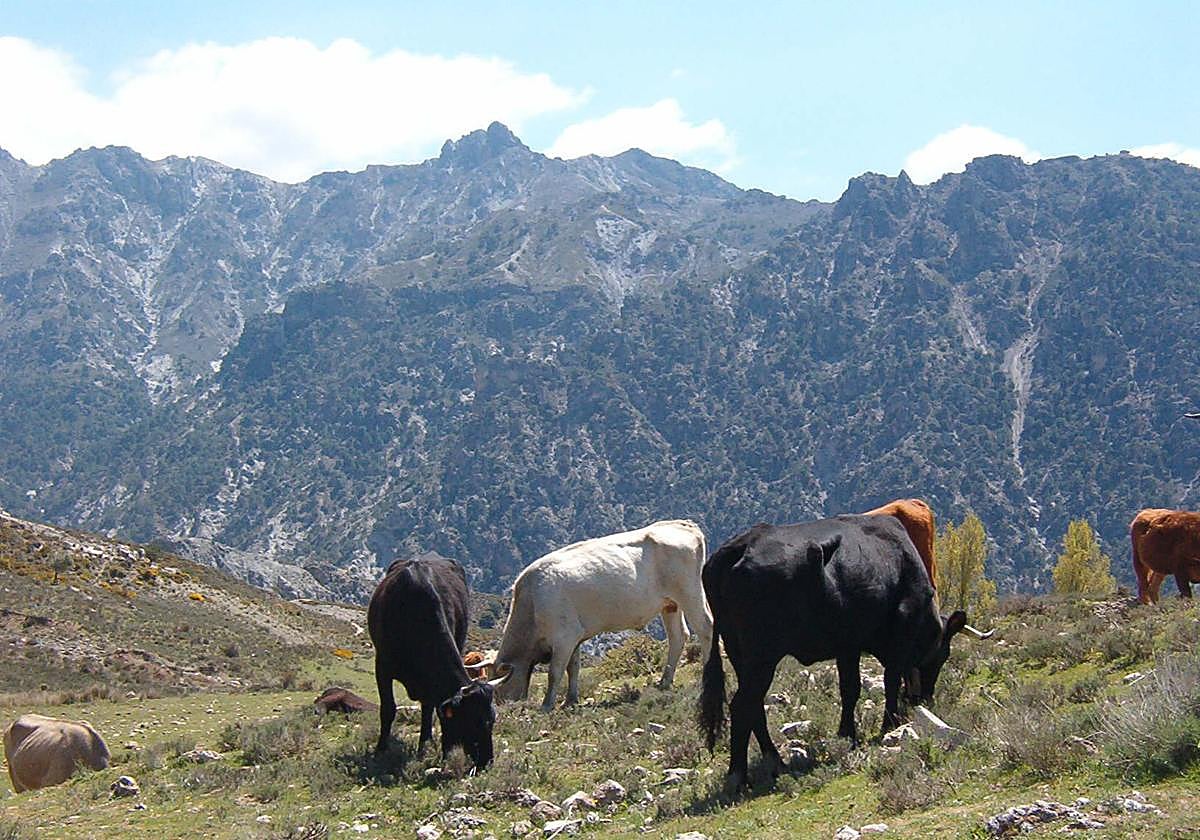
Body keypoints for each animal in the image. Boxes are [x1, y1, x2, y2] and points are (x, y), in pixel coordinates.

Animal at [367, 554, 509, 769]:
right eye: (470, 721)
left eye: (491, 720)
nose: (486, 762)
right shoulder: (382, 666)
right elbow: (388, 709)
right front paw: (380, 750)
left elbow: (428, 709)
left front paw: (425, 746)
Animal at [492, 519, 713, 711]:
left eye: (498, 690)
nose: (501, 708)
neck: (532, 601)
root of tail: (681, 524)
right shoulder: (576, 636)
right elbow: (573, 668)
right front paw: (570, 700)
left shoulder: (564, 637)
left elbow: (555, 672)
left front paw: (547, 705)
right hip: (670, 604)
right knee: (678, 637)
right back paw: (664, 681)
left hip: (690, 592)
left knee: (705, 628)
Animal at [698, 516, 989, 791]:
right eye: (943, 656)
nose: (927, 699)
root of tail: (739, 546)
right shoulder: (889, 641)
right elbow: (882, 682)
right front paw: (883, 726)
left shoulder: (846, 647)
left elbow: (850, 689)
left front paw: (849, 733)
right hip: (761, 657)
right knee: (742, 705)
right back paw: (738, 776)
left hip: (741, 655)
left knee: (754, 706)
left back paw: (776, 763)